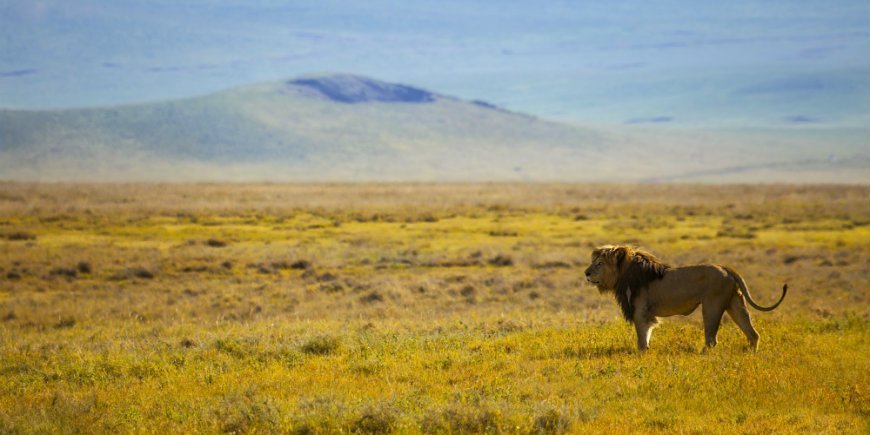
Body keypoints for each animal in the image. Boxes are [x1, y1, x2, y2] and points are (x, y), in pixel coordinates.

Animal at [584, 245, 787, 351]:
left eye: (599, 263)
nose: (586, 273)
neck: (623, 274)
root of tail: (727, 269)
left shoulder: (641, 312)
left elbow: (642, 338)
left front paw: (642, 354)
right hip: (735, 303)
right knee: (753, 333)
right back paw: (751, 353)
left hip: (712, 305)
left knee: (712, 339)